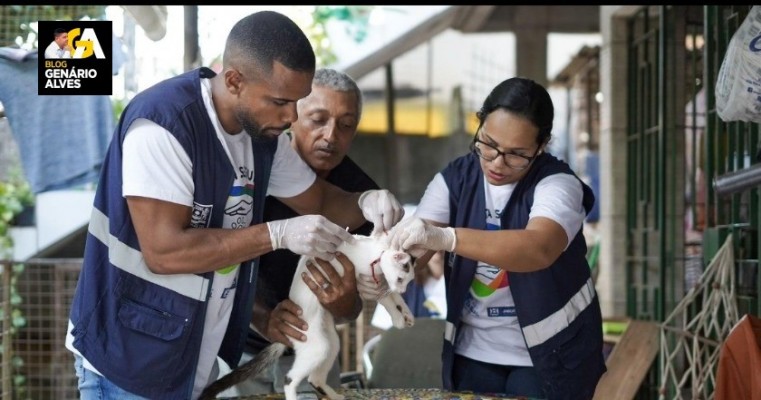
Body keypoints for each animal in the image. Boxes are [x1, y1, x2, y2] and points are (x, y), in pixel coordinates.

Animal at [197, 231, 416, 400]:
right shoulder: (365, 283)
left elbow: (394, 299)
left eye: (407, 282)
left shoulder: (379, 284)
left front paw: (406, 314)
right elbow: (388, 301)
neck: (376, 252)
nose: (404, 289)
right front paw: (398, 318)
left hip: (331, 344)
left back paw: (334, 395)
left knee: (314, 378)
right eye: (400, 278)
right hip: (317, 348)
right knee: (290, 379)